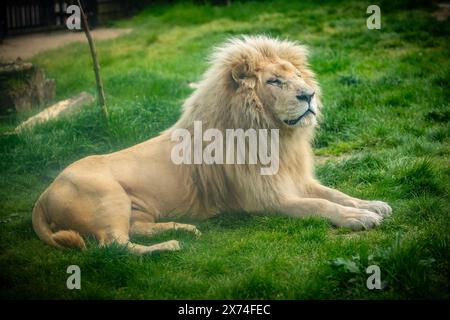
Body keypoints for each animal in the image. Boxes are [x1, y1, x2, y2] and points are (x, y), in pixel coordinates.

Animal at [32, 35, 390, 255]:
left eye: (298, 76)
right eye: (274, 81)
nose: (309, 95)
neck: (277, 137)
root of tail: (43, 194)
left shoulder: (297, 180)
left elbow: (336, 194)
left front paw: (373, 205)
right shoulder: (265, 200)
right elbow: (319, 205)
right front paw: (359, 218)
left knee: (136, 231)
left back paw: (184, 229)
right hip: (108, 198)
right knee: (115, 246)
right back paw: (169, 247)